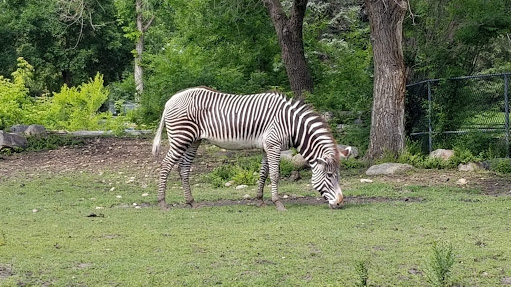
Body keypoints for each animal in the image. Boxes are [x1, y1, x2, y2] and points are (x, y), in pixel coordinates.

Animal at [152, 86, 344, 210]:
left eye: (338, 175)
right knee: (165, 166)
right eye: (329, 175)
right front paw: (278, 203)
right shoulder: (274, 146)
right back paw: (162, 203)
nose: (340, 202)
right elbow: (275, 175)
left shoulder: (267, 146)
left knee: (183, 169)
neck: (292, 124)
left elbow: (263, 173)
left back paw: (191, 202)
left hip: (193, 140)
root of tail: (170, 100)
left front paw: (260, 200)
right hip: (181, 138)